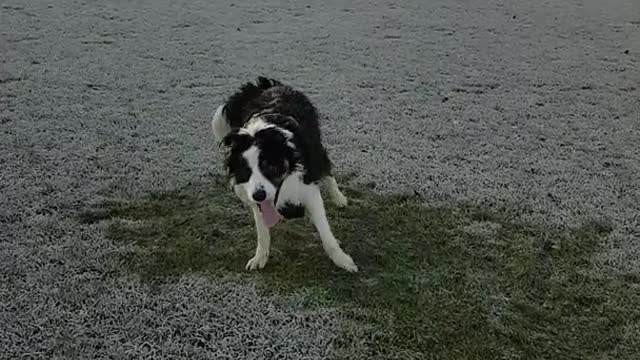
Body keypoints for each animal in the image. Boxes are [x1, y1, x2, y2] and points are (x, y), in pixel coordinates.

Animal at [211, 77, 358, 272]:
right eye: (246, 171)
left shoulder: (308, 186)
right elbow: (262, 232)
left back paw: (338, 197)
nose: (259, 195)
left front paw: (342, 260)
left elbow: (325, 232)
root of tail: (270, 85)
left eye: (269, 166)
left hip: (316, 146)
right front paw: (260, 257)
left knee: (326, 167)